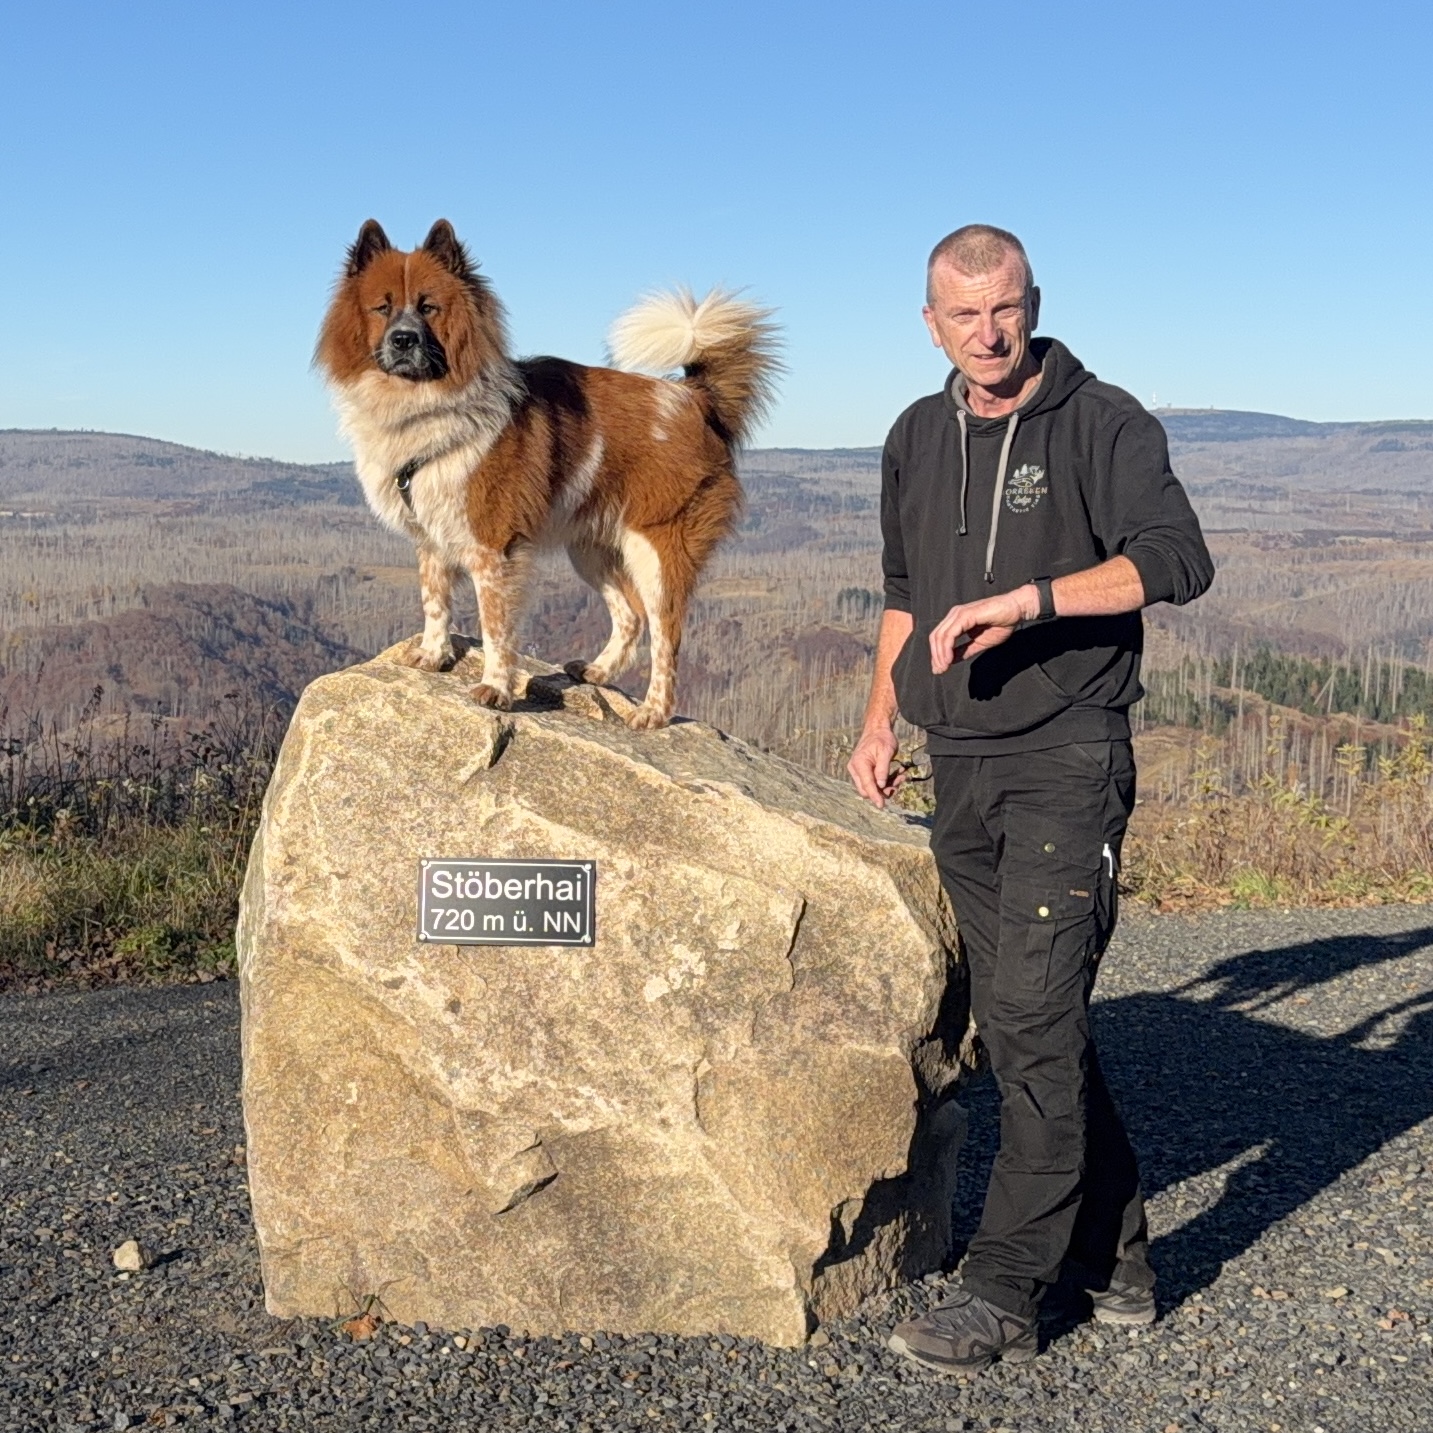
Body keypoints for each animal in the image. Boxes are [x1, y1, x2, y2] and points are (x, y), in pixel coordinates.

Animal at [315, 219, 780, 729]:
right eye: (381, 308)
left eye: (428, 307)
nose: (403, 340)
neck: (426, 411)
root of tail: (695, 400)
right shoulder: (432, 536)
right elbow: (434, 601)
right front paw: (434, 656)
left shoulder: (494, 549)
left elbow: (496, 627)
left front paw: (496, 689)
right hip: (592, 548)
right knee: (630, 615)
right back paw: (597, 671)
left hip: (656, 550)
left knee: (666, 632)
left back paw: (654, 711)